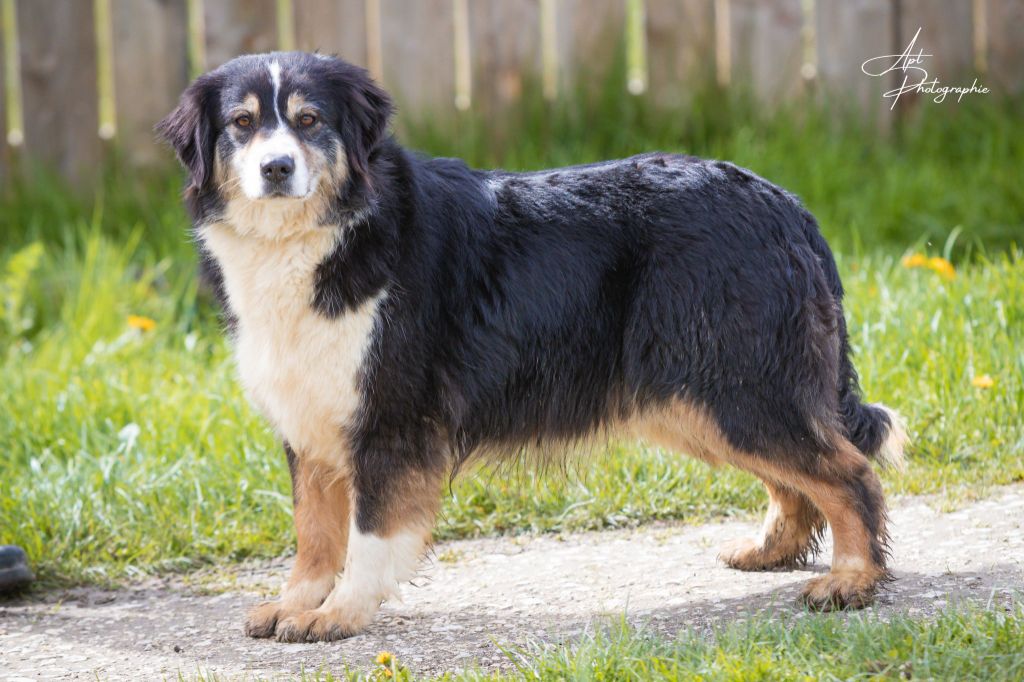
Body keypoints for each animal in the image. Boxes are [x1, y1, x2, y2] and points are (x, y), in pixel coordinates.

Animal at [155, 50, 909, 638]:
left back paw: (850, 581)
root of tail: (788, 206)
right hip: (704, 398)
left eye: (310, 121)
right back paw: (770, 552)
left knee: (849, 474)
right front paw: (294, 605)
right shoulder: (310, 419)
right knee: (800, 477)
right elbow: (313, 532)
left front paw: (339, 614)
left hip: (736, 386)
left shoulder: (391, 420)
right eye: (242, 124)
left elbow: (369, 535)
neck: (328, 235)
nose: (277, 169)